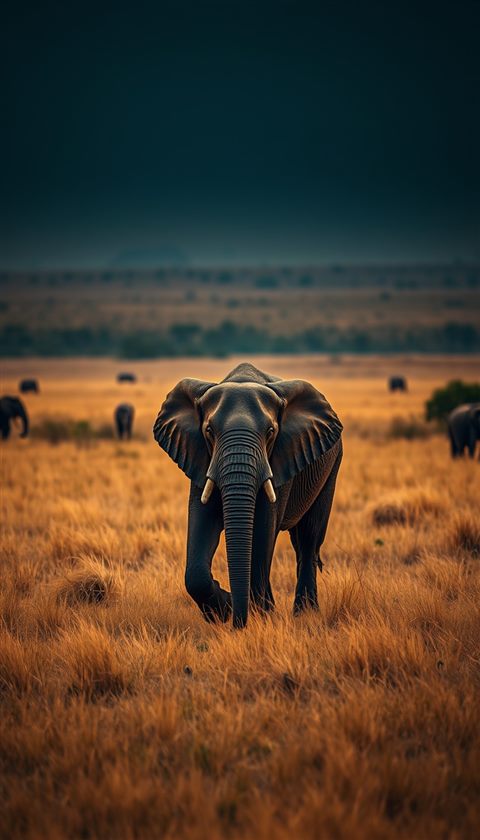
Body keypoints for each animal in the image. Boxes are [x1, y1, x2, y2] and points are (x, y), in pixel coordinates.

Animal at [153, 362, 343, 628]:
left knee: (308, 538)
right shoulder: (202, 457)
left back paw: (304, 613)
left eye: (271, 432)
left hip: (332, 464)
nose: (237, 623)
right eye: (209, 431)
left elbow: (263, 528)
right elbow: (201, 528)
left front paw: (257, 616)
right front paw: (225, 608)